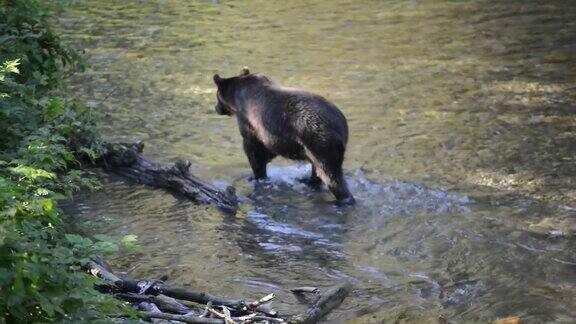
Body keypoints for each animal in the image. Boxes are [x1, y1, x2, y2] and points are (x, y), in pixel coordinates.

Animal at [213, 68, 356, 205]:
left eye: (216, 96)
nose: (216, 108)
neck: (237, 98)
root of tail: (341, 125)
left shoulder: (250, 122)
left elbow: (253, 151)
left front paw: (256, 176)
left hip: (318, 140)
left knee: (330, 174)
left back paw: (342, 200)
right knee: (317, 170)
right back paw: (308, 181)